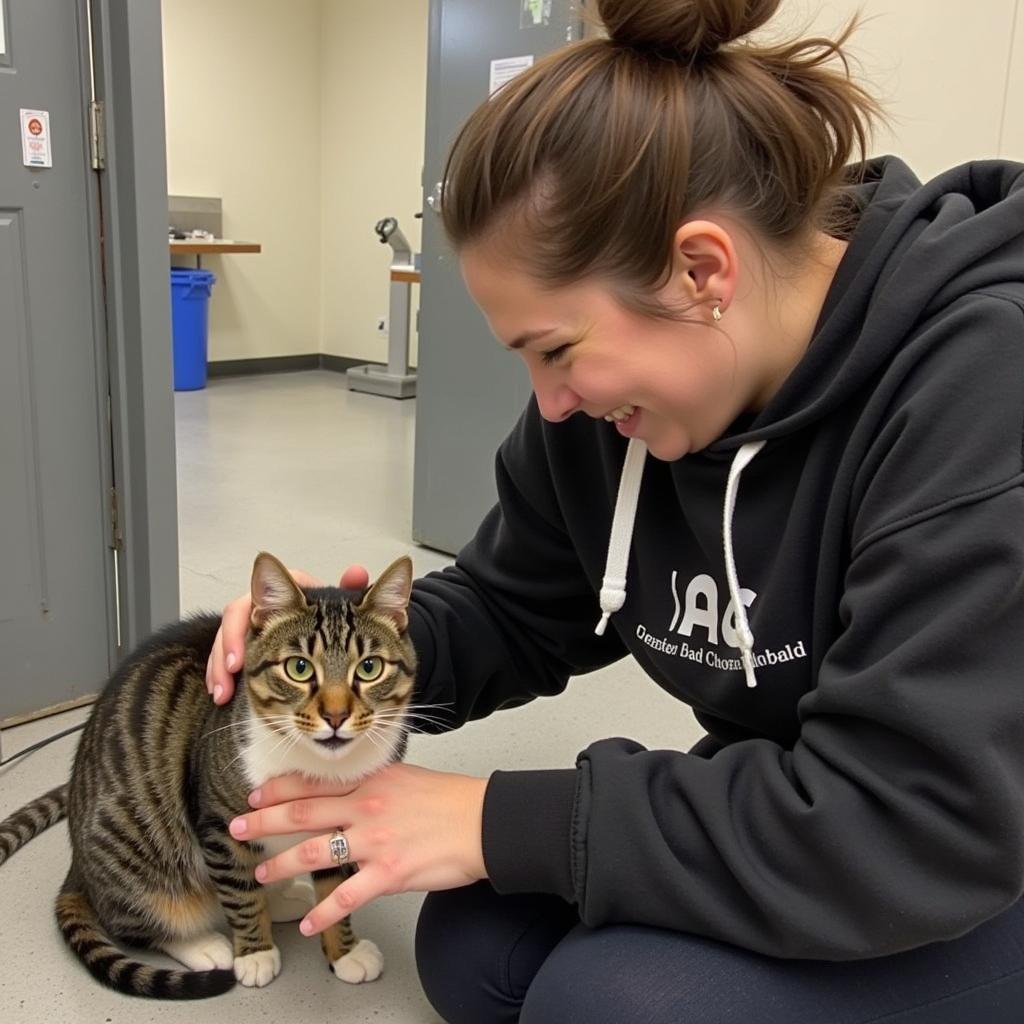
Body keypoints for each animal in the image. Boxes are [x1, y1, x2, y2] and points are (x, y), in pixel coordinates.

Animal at [1, 557, 415, 995]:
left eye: (369, 668)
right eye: (299, 668)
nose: (336, 716)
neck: (318, 769)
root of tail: (77, 869)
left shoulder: (345, 824)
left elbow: (336, 890)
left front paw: (344, 952)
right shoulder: (220, 827)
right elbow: (240, 893)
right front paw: (255, 953)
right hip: (133, 847)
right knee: (139, 918)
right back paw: (201, 944)